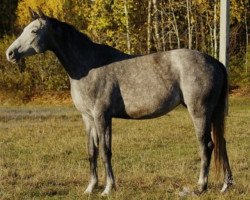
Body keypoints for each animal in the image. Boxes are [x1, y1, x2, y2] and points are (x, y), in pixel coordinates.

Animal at [5, 8, 232, 195]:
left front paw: (107, 188)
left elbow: (105, 151)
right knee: (221, 143)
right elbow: (92, 151)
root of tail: (215, 62)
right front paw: (91, 187)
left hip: (199, 112)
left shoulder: (102, 116)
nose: (10, 53)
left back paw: (201, 187)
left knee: (207, 145)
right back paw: (226, 185)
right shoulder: (88, 117)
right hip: (213, 113)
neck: (89, 66)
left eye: (34, 31)